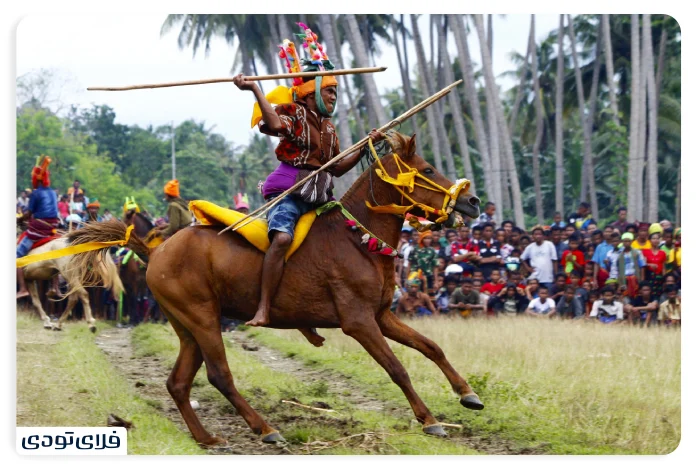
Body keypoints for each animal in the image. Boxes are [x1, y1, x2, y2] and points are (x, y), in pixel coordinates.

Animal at [69, 133, 484, 448]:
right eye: (428, 169)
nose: (473, 200)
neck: (357, 237)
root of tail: (156, 250)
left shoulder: (381, 315)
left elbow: (431, 347)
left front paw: (467, 394)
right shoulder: (359, 321)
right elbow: (397, 368)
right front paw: (429, 418)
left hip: (187, 326)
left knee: (178, 383)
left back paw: (206, 437)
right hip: (202, 317)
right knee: (219, 375)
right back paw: (265, 428)